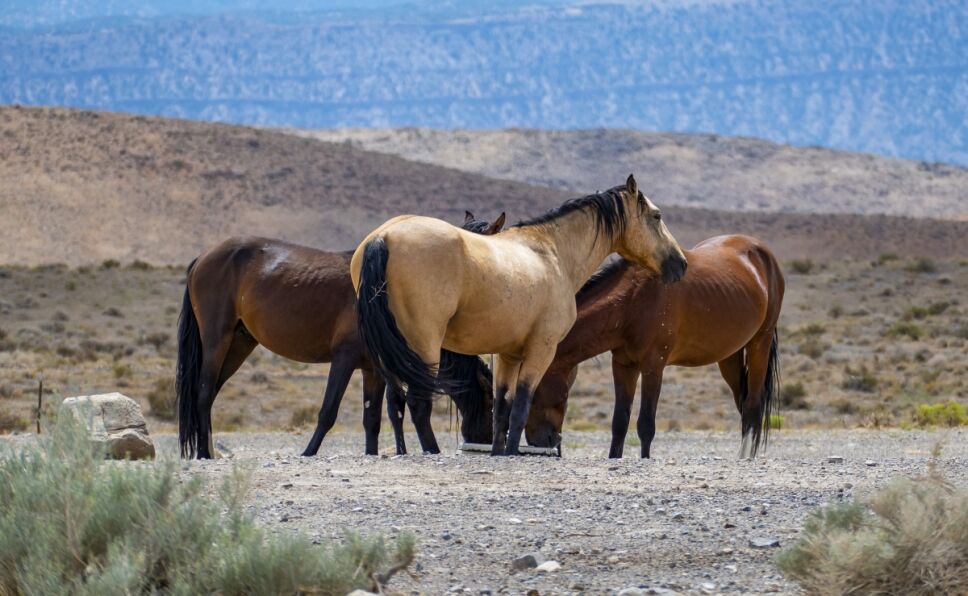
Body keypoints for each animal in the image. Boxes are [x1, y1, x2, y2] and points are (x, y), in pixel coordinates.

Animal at [176, 212, 506, 458]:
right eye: (490, 400)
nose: (483, 441)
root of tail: (202, 258)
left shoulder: (373, 369)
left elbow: (374, 417)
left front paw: (373, 454)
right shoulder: (344, 358)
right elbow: (329, 411)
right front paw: (308, 452)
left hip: (240, 343)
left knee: (209, 393)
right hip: (217, 339)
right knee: (203, 392)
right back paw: (204, 454)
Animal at [352, 176, 684, 456]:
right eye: (657, 216)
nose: (680, 263)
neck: (552, 252)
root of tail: (383, 237)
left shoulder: (507, 355)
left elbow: (503, 407)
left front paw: (499, 452)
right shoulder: (541, 350)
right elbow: (522, 405)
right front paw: (512, 452)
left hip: (391, 352)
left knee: (396, 402)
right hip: (424, 346)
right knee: (418, 404)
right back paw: (432, 451)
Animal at [524, 235, 784, 458]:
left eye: (533, 391)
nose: (539, 440)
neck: (632, 301)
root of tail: (763, 253)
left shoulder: (653, 366)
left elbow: (646, 425)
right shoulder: (623, 365)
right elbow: (619, 422)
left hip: (759, 344)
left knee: (752, 405)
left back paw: (745, 458)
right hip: (730, 356)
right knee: (743, 403)